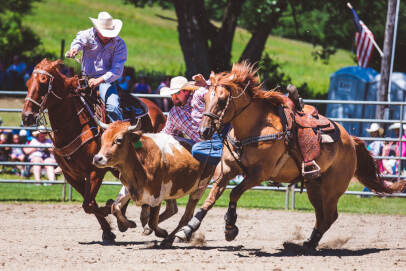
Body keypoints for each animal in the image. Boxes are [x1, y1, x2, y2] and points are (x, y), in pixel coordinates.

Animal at [21, 58, 172, 243]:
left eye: (43, 84)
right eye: (28, 83)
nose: (26, 117)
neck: (74, 125)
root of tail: (158, 111)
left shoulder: (95, 172)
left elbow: (89, 204)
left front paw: (112, 212)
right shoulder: (72, 176)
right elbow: (89, 204)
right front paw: (108, 230)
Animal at [177, 61, 406, 251]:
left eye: (222, 100)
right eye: (205, 99)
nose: (204, 131)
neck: (254, 128)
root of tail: (350, 140)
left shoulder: (258, 175)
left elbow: (234, 194)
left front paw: (230, 227)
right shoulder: (225, 169)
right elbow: (211, 198)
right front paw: (188, 229)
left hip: (332, 189)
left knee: (330, 216)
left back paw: (309, 243)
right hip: (315, 186)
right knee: (322, 216)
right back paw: (308, 242)